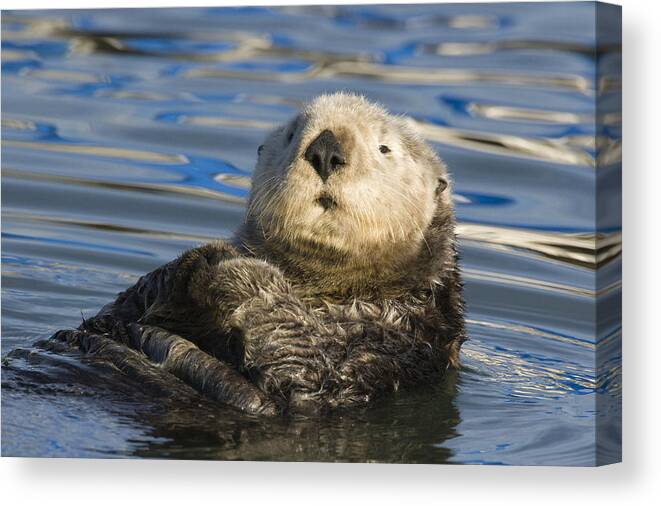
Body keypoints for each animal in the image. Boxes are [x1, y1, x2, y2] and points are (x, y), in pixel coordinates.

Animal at [50, 94, 464, 416]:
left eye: (384, 148)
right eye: (293, 134)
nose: (326, 148)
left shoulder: (392, 347)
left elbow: (308, 370)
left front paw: (235, 269)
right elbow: (121, 308)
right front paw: (199, 260)